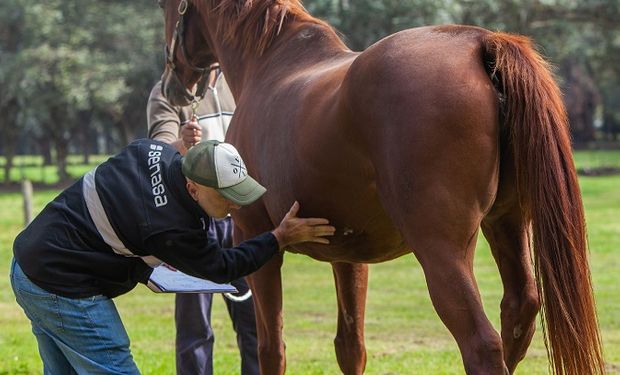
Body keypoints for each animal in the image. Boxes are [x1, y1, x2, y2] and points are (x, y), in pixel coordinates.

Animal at [157, 1, 604, 374]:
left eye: (167, 5)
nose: (173, 85)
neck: (270, 65)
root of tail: (479, 43)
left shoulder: (255, 235)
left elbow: (271, 348)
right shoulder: (348, 255)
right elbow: (350, 347)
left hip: (442, 249)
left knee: (482, 344)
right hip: (508, 224)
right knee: (518, 313)